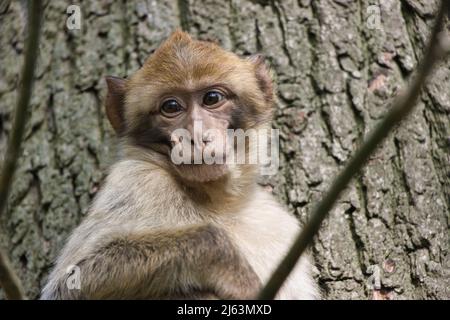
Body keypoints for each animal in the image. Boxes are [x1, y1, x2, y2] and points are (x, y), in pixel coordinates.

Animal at [40, 29, 318, 300]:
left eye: (212, 98)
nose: (196, 135)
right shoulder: (137, 180)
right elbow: (69, 285)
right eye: (171, 106)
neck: (217, 199)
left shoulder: (280, 227)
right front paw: (233, 271)